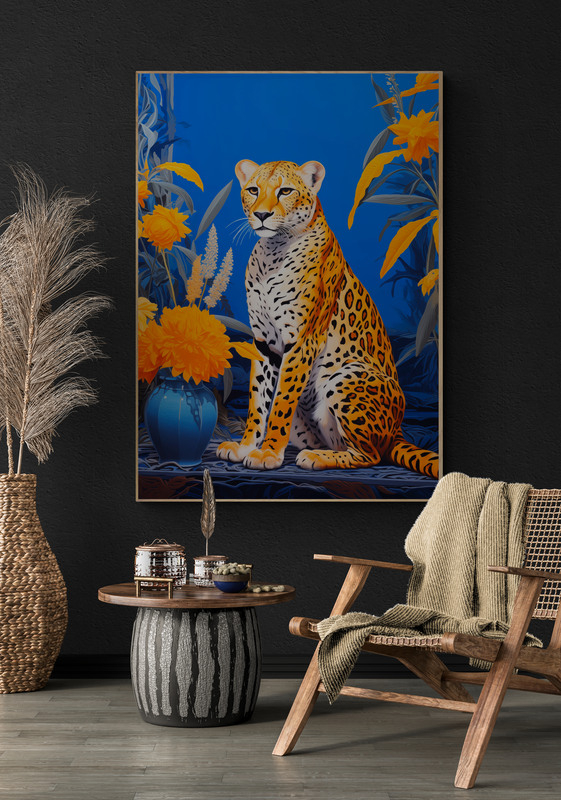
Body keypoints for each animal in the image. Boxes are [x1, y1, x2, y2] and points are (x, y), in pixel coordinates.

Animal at [216, 159, 439, 478]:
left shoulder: (301, 341)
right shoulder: (263, 342)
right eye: (253, 190)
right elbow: (258, 400)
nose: (261, 215)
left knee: (371, 455)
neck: (272, 252)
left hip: (347, 376)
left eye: (285, 191)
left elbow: (281, 401)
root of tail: (397, 431)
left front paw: (268, 453)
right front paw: (247, 447)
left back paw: (315, 458)